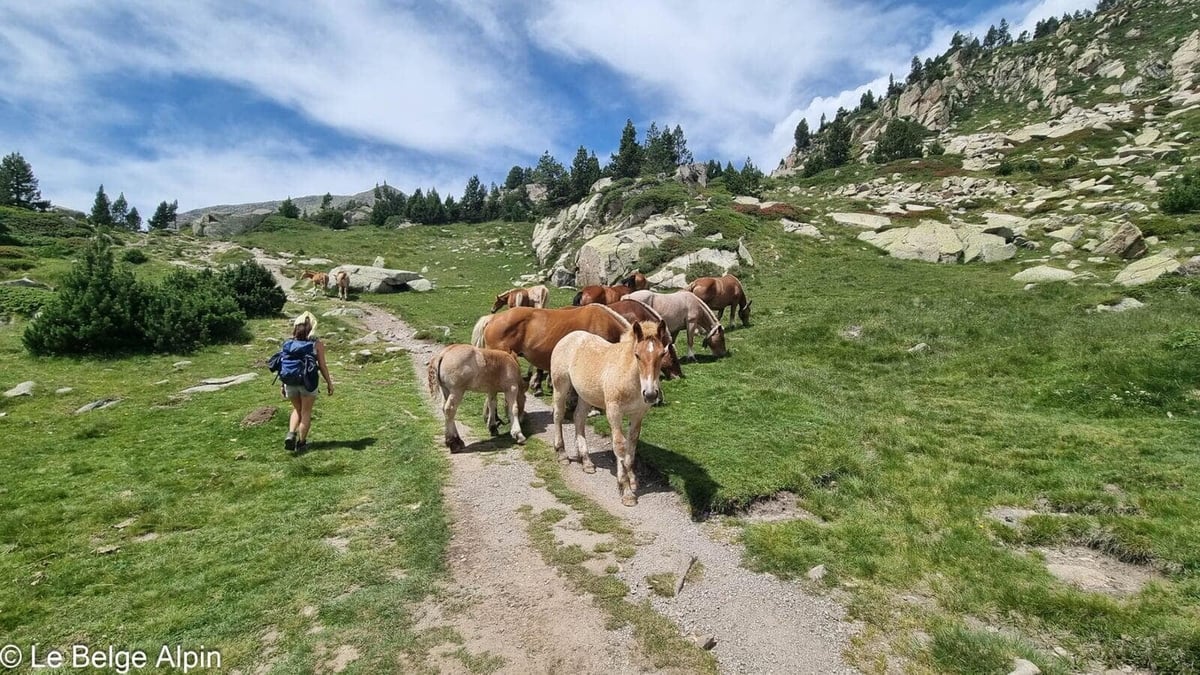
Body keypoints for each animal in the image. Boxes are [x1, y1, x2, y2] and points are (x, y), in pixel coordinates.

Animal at [551, 320, 666, 506]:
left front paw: (631, 480)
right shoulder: (614, 412)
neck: (629, 378)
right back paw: (562, 454)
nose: (650, 394)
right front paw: (626, 491)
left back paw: (586, 461)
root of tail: (571, 336)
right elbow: (619, 445)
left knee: (578, 418)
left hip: (585, 394)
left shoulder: (637, 415)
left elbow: (631, 446)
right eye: (637, 355)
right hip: (560, 386)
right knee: (558, 415)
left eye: (662, 354)